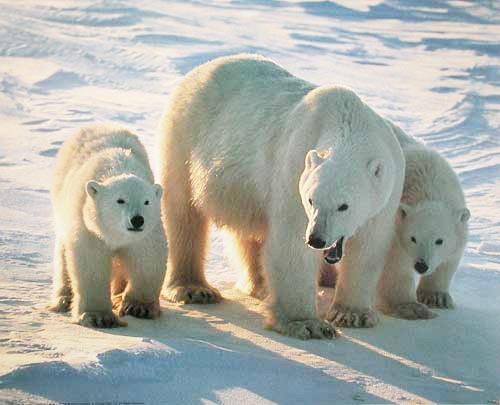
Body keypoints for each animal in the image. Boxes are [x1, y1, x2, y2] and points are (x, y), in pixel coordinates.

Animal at [47, 124, 167, 326]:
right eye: (120, 200)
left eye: (146, 201)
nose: (137, 220)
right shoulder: (88, 227)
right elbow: (91, 263)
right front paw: (98, 316)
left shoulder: (146, 232)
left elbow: (148, 258)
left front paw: (139, 307)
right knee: (63, 255)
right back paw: (63, 299)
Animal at [160, 54, 406, 338]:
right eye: (311, 200)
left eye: (344, 206)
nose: (316, 239)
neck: (349, 122)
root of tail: (205, 66)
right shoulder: (294, 169)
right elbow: (292, 243)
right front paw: (307, 323)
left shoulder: (387, 192)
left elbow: (368, 247)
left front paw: (353, 314)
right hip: (185, 139)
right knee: (183, 213)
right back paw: (193, 288)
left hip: (242, 189)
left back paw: (260, 285)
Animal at [376, 121, 470, 318]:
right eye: (413, 238)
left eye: (439, 240)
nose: (421, 266)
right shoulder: (394, 226)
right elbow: (393, 267)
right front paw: (411, 307)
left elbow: (448, 261)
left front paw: (436, 297)